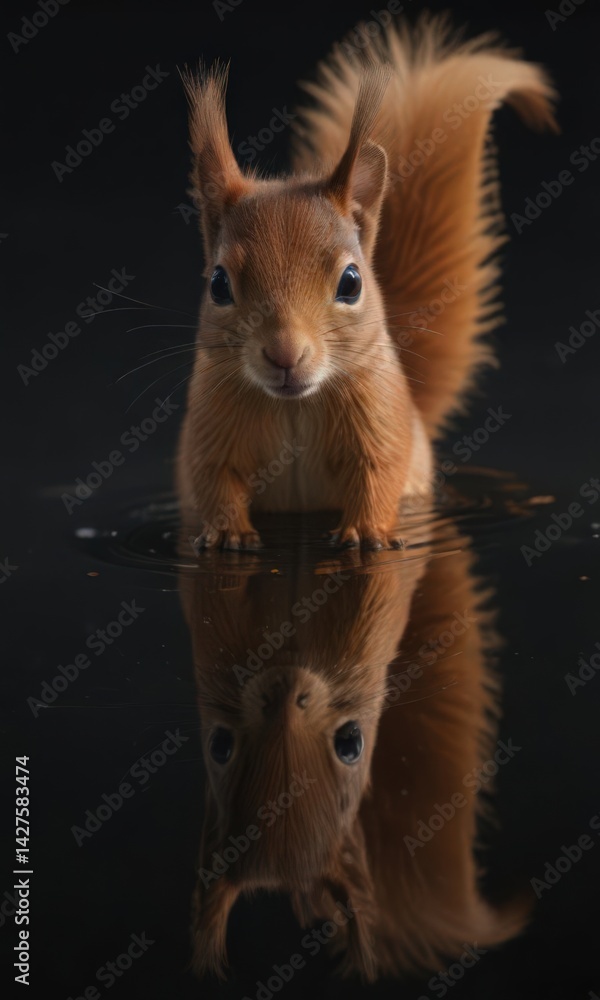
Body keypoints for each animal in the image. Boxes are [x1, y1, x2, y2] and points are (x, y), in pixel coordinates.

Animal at [176, 15, 556, 551]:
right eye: (218, 285)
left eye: (351, 283)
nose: (285, 355)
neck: (296, 407)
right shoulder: (210, 425)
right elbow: (214, 478)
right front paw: (228, 532)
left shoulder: (381, 418)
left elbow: (379, 471)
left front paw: (366, 531)